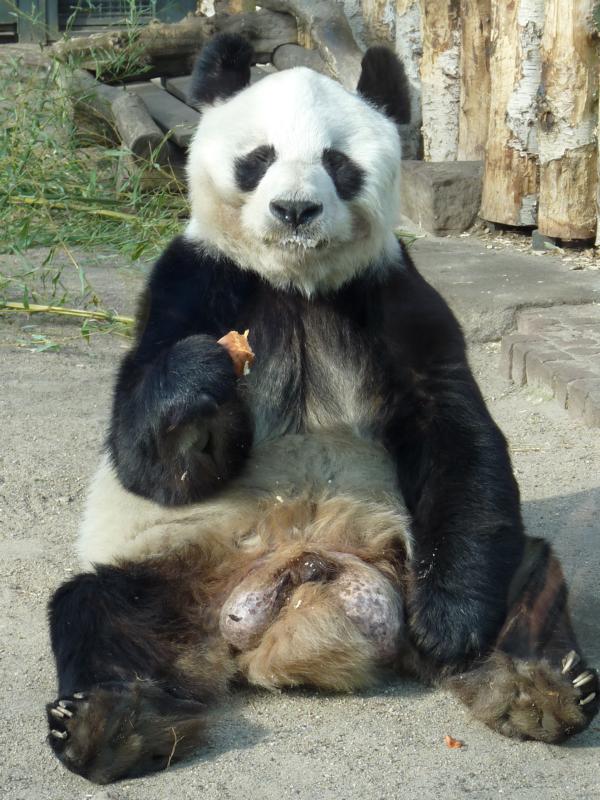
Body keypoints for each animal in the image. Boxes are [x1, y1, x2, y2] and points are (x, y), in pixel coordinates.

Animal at [46, 34, 598, 784]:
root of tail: (293, 613)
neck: (296, 283)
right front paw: (200, 375)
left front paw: (450, 624)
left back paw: (532, 684)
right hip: (173, 580)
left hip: (419, 559)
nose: (295, 211)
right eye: (259, 158)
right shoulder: (194, 280)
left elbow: (454, 427)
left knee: (525, 570)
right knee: (98, 612)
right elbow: (149, 461)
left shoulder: (391, 292)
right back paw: (109, 726)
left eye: (339, 163)